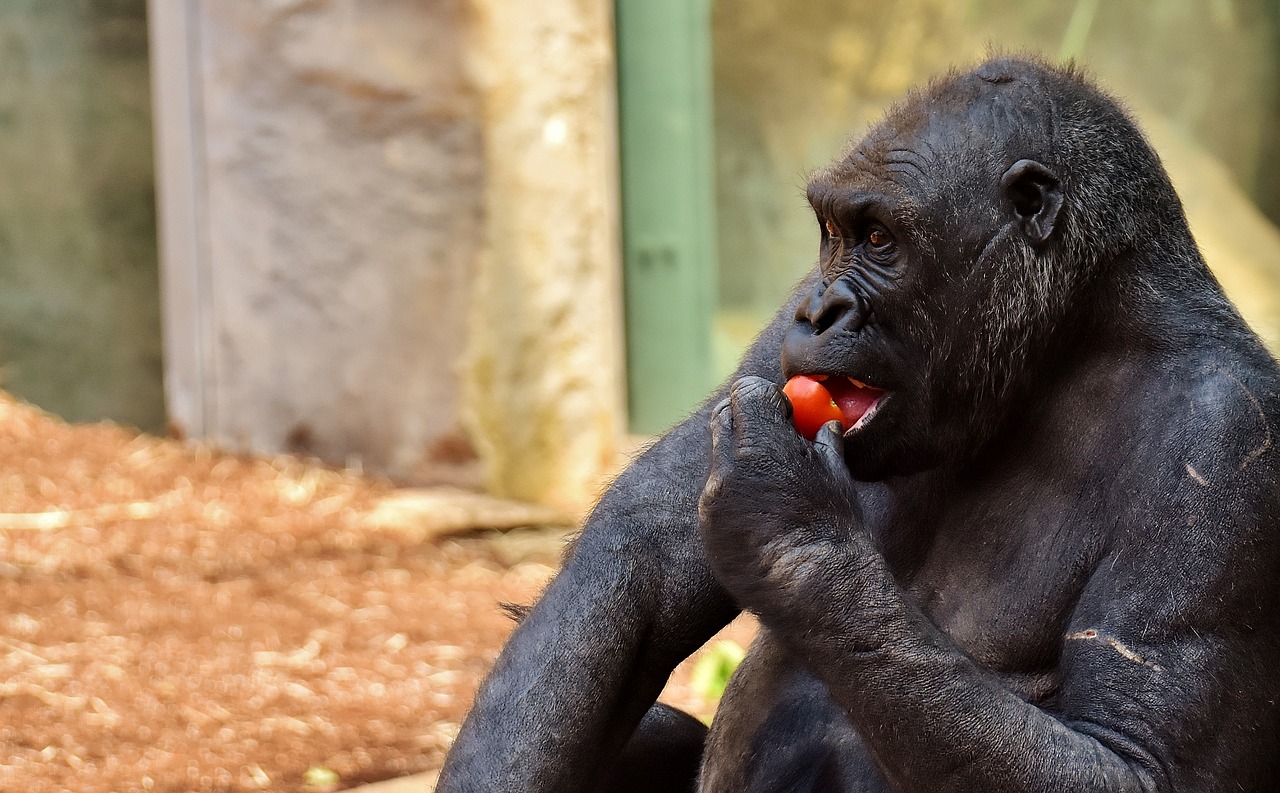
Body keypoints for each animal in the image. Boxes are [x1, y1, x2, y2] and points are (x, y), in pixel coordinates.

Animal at [435, 57, 1280, 793]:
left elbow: (1134, 758)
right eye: (833, 232)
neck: (1068, 344)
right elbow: (641, 551)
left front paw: (789, 530)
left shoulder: (1228, 441)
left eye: (880, 238)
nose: (822, 311)